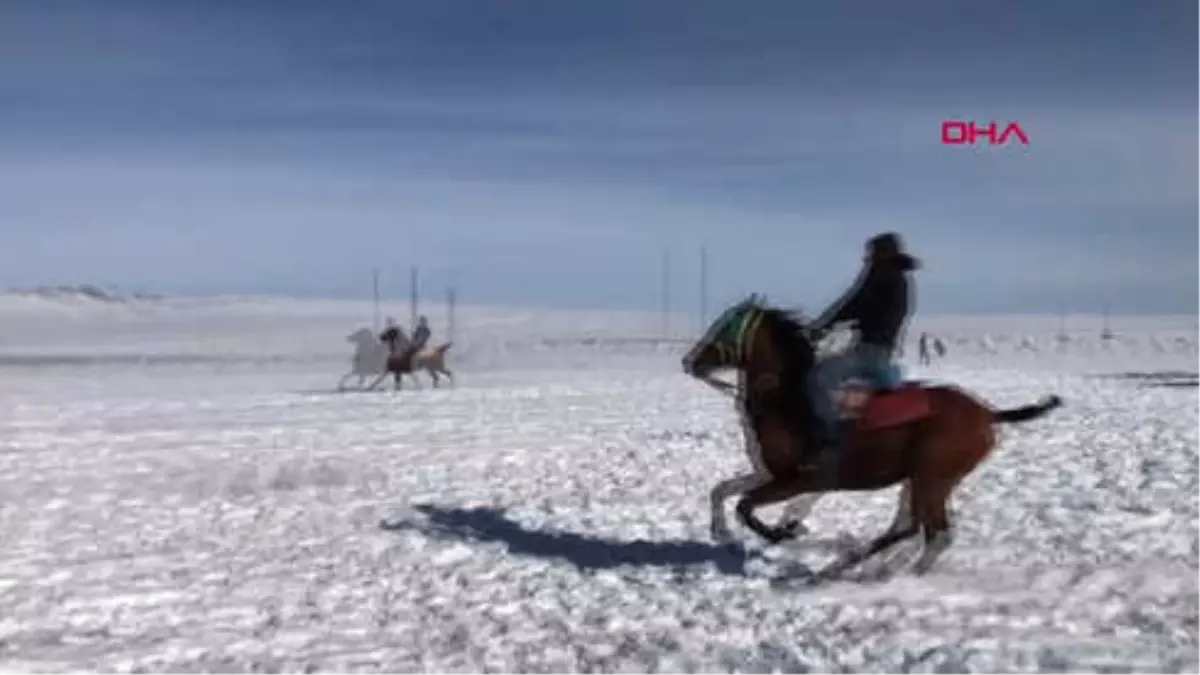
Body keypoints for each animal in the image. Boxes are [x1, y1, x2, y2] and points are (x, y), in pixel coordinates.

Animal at [681, 291, 1065, 576]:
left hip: (931, 478)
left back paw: (886, 571)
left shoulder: (798, 480)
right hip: (923, 479)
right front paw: (722, 531)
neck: (789, 403)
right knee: (912, 527)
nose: (690, 362)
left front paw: (782, 532)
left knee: (933, 533)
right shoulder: (769, 474)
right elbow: (722, 491)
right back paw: (859, 563)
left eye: (725, 328)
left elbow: (746, 506)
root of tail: (987, 413)